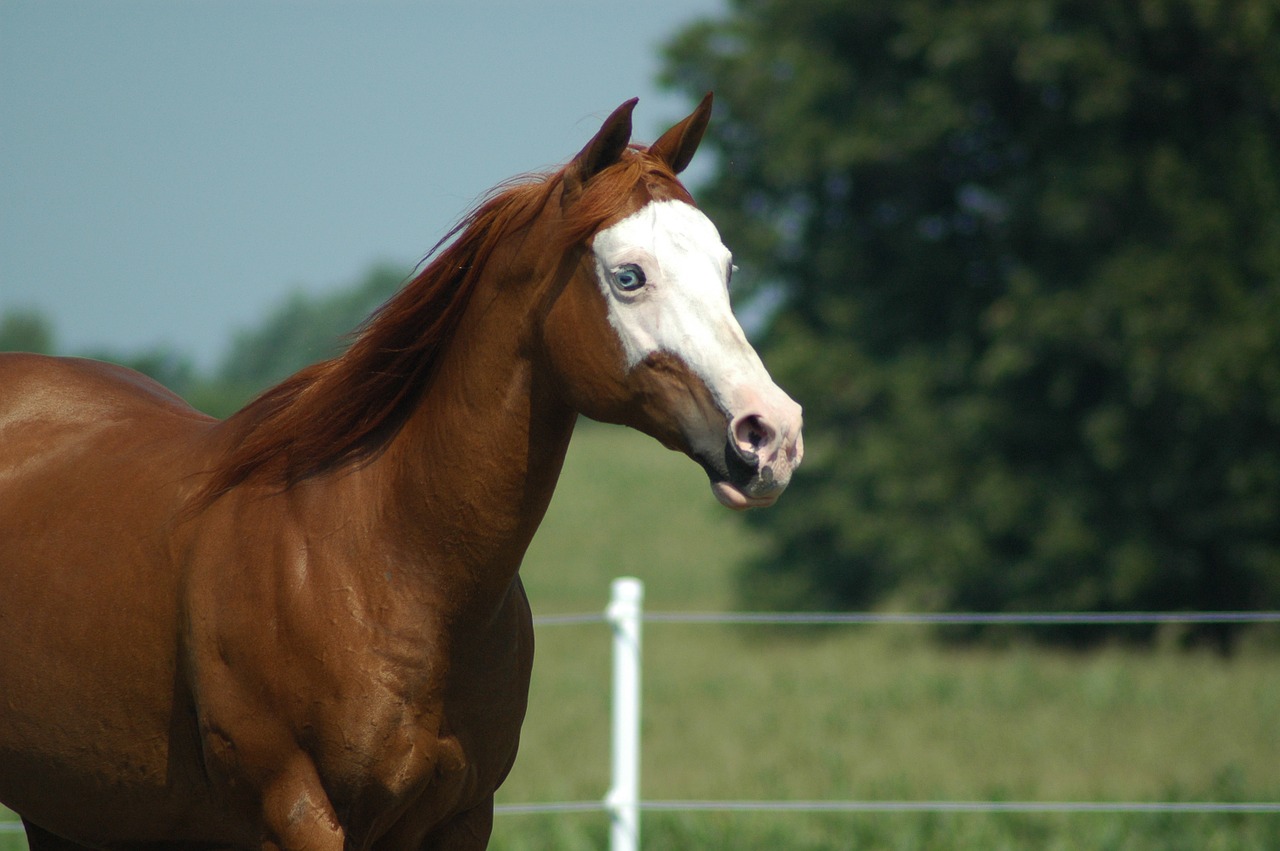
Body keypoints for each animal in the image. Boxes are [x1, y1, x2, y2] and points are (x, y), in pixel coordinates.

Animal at [0, 94, 798, 849]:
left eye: (726, 268)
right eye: (628, 275)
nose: (772, 434)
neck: (389, 561)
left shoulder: (463, 817)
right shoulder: (296, 814)